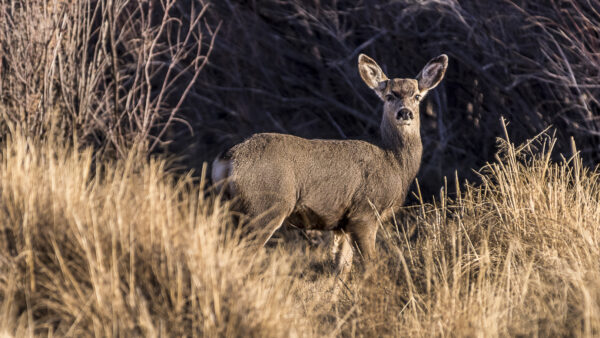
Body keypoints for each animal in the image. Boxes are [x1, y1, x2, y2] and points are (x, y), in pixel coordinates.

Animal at [213, 53, 448, 280]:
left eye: (417, 96)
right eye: (390, 96)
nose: (405, 113)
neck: (394, 163)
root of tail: (228, 159)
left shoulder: (342, 224)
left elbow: (341, 269)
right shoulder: (363, 213)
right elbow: (370, 264)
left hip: (232, 210)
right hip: (264, 206)